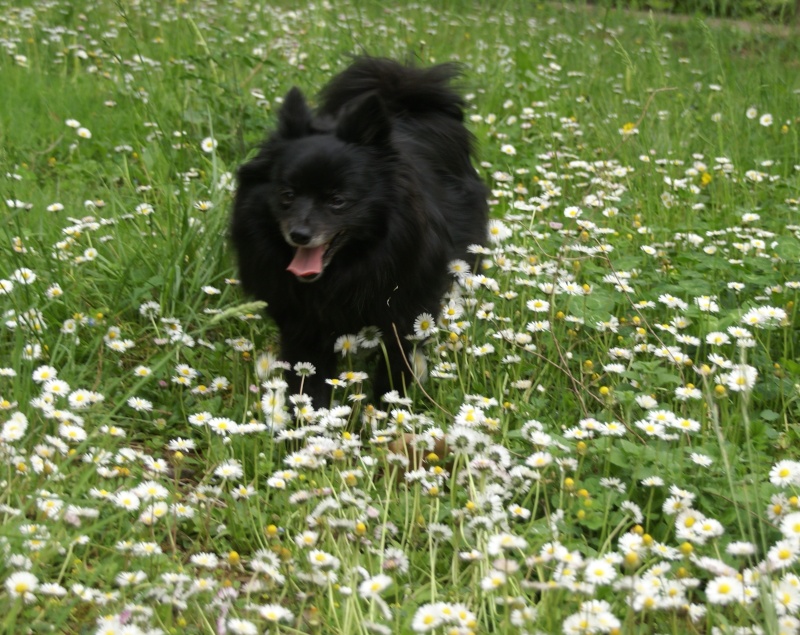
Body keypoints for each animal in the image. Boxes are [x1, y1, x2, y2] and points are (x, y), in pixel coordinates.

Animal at [231, 57, 488, 404]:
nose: (299, 234)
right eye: (287, 195)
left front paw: (387, 407)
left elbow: (396, 366)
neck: (349, 268)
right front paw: (307, 414)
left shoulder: (405, 314)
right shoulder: (303, 323)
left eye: (338, 201)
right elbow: (308, 377)